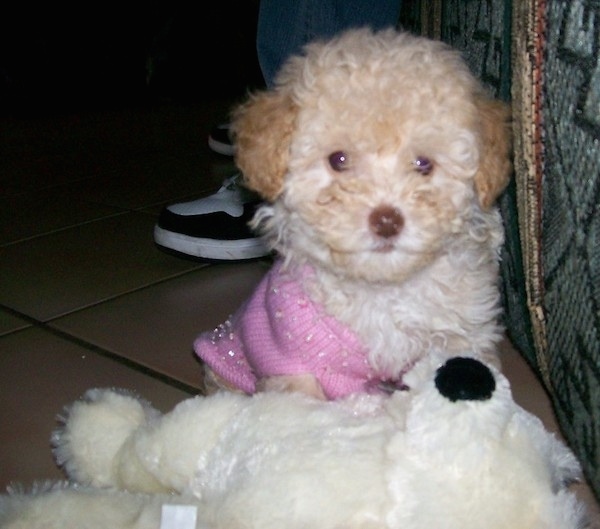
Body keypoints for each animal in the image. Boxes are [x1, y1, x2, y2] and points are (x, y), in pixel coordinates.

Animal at [195, 28, 512, 398]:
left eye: (424, 164)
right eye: (338, 160)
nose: (387, 221)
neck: (383, 289)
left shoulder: (464, 334)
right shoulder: (289, 357)